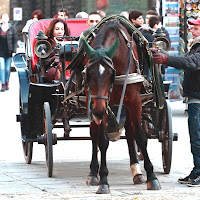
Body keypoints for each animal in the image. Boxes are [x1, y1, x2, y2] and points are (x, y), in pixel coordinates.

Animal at [81, 18, 161, 194]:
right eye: (88, 74)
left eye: (110, 74)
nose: (98, 111)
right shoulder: (101, 102)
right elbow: (102, 140)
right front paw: (103, 180)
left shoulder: (134, 100)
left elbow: (140, 137)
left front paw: (152, 177)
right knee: (94, 134)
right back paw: (92, 174)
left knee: (130, 132)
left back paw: (137, 172)